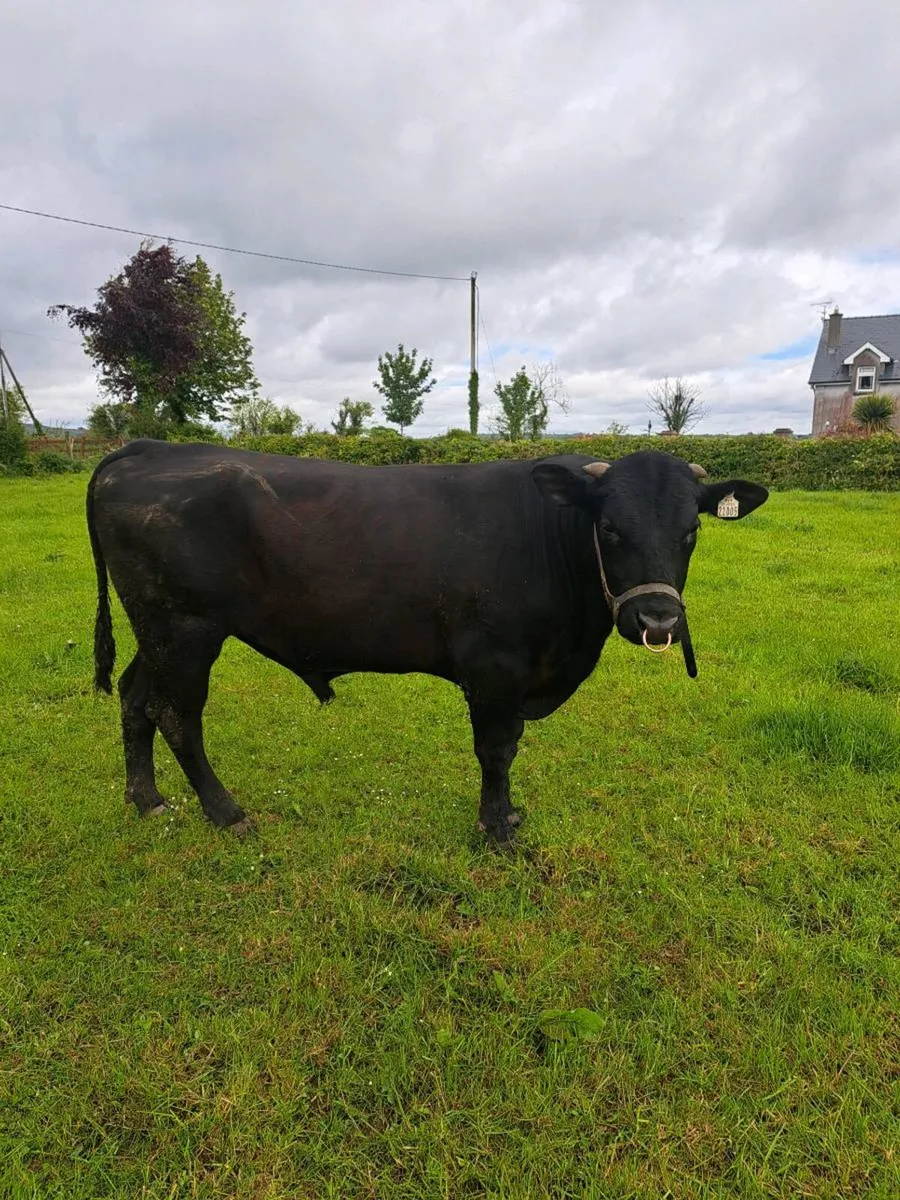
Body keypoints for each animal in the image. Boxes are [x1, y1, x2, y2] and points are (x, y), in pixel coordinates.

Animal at [86, 439, 768, 845]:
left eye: (690, 531)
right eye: (609, 528)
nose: (658, 620)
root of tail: (151, 450)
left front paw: (506, 816)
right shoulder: (494, 669)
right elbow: (497, 750)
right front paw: (497, 829)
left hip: (157, 630)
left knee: (135, 699)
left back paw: (147, 801)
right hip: (185, 628)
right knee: (176, 714)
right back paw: (225, 812)